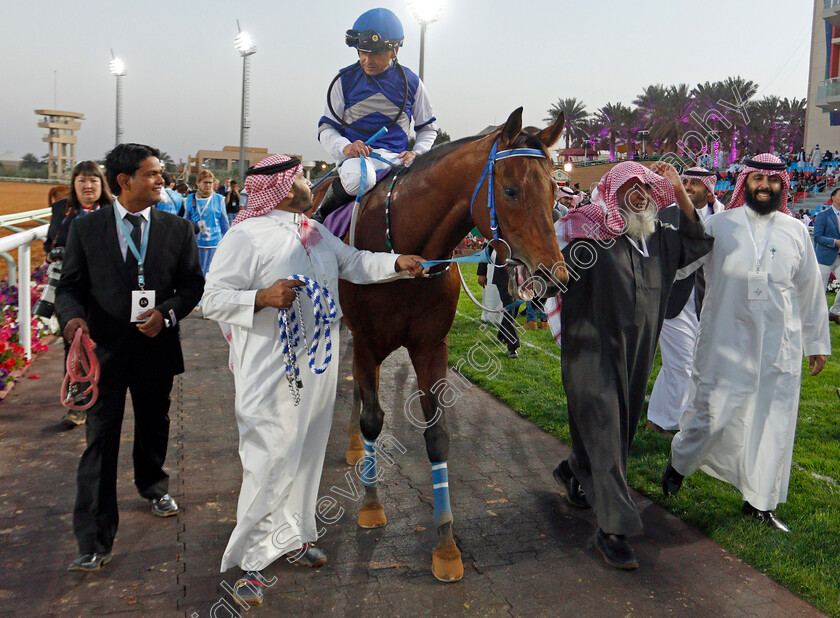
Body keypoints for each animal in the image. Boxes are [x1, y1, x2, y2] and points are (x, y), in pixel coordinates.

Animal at [318, 108, 568, 580]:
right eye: (511, 190)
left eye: (555, 191)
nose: (554, 275)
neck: (403, 251)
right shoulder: (368, 341)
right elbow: (374, 419)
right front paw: (371, 506)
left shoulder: (432, 346)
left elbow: (437, 435)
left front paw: (446, 545)